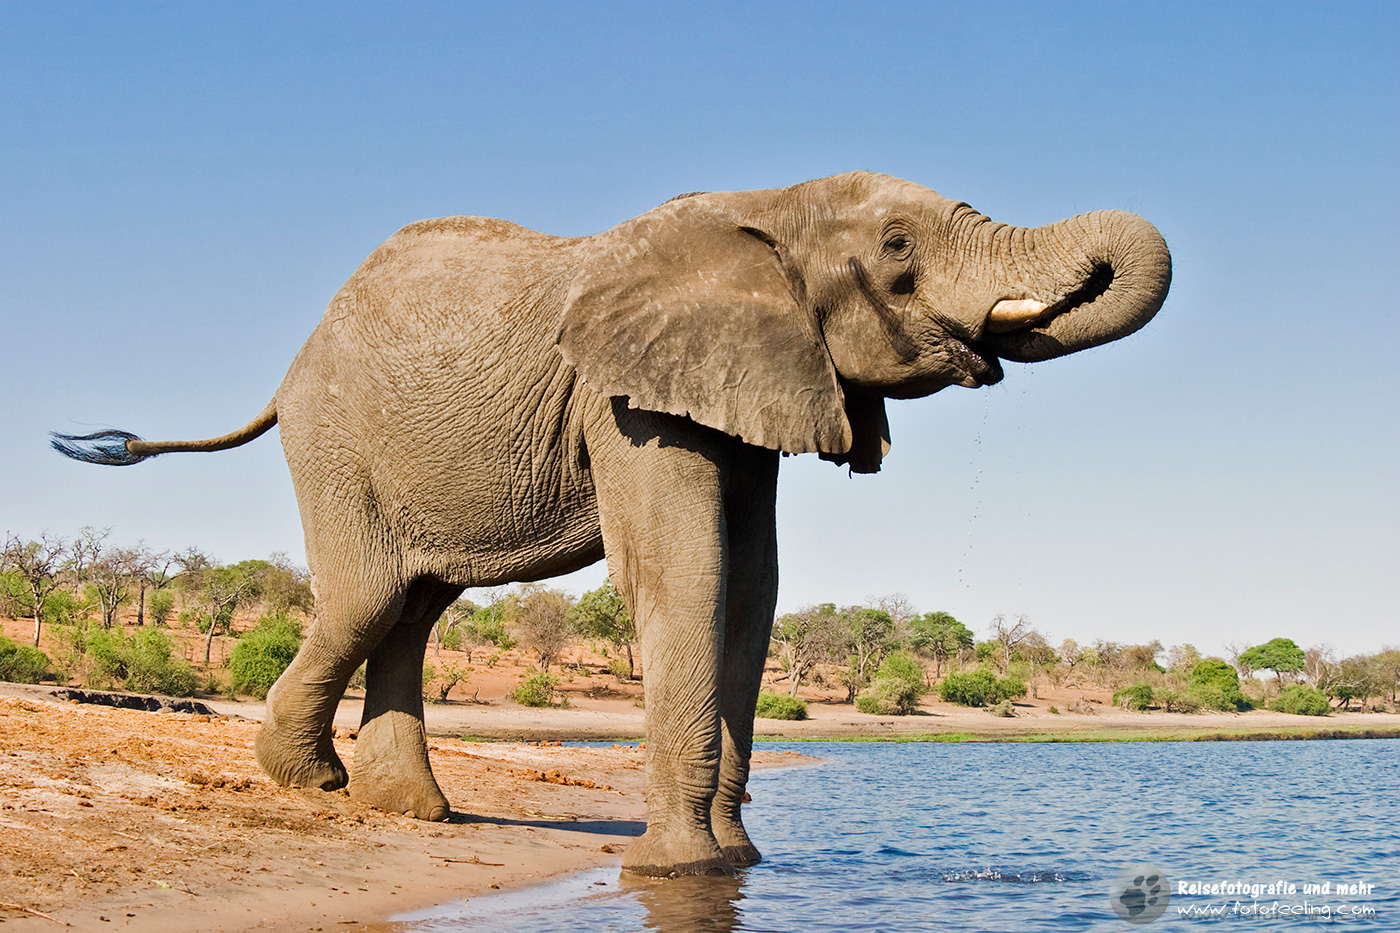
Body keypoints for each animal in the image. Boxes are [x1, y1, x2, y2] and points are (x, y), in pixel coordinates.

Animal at [53, 171, 1171, 877]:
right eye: (897, 249)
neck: (765, 205)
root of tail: (291, 364)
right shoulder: (627, 401)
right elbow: (687, 575)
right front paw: (678, 871)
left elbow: (750, 592)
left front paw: (739, 863)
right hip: (336, 443)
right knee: (371, 596)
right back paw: (308, 783)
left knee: (412, 606)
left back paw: (403, 811)